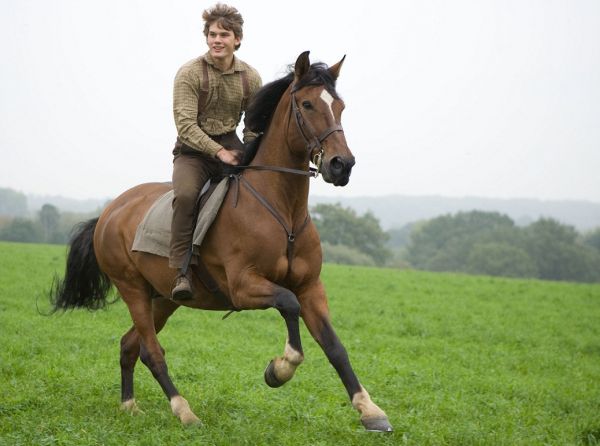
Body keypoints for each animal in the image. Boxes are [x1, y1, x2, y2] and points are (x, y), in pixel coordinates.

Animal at [51, 51, 394, 432]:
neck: (282, 212)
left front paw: (371, 411)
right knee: (152, 352)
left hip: (164, 298)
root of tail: (109, 211)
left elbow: (335, 346)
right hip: (133, 290)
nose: (341, 165)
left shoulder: (311, 287)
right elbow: (288, 305)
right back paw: (184, 412)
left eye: (339, 106)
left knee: (130, 345)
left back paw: (130, 406)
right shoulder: (244, 286)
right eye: (307, 104)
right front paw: (279, 369)